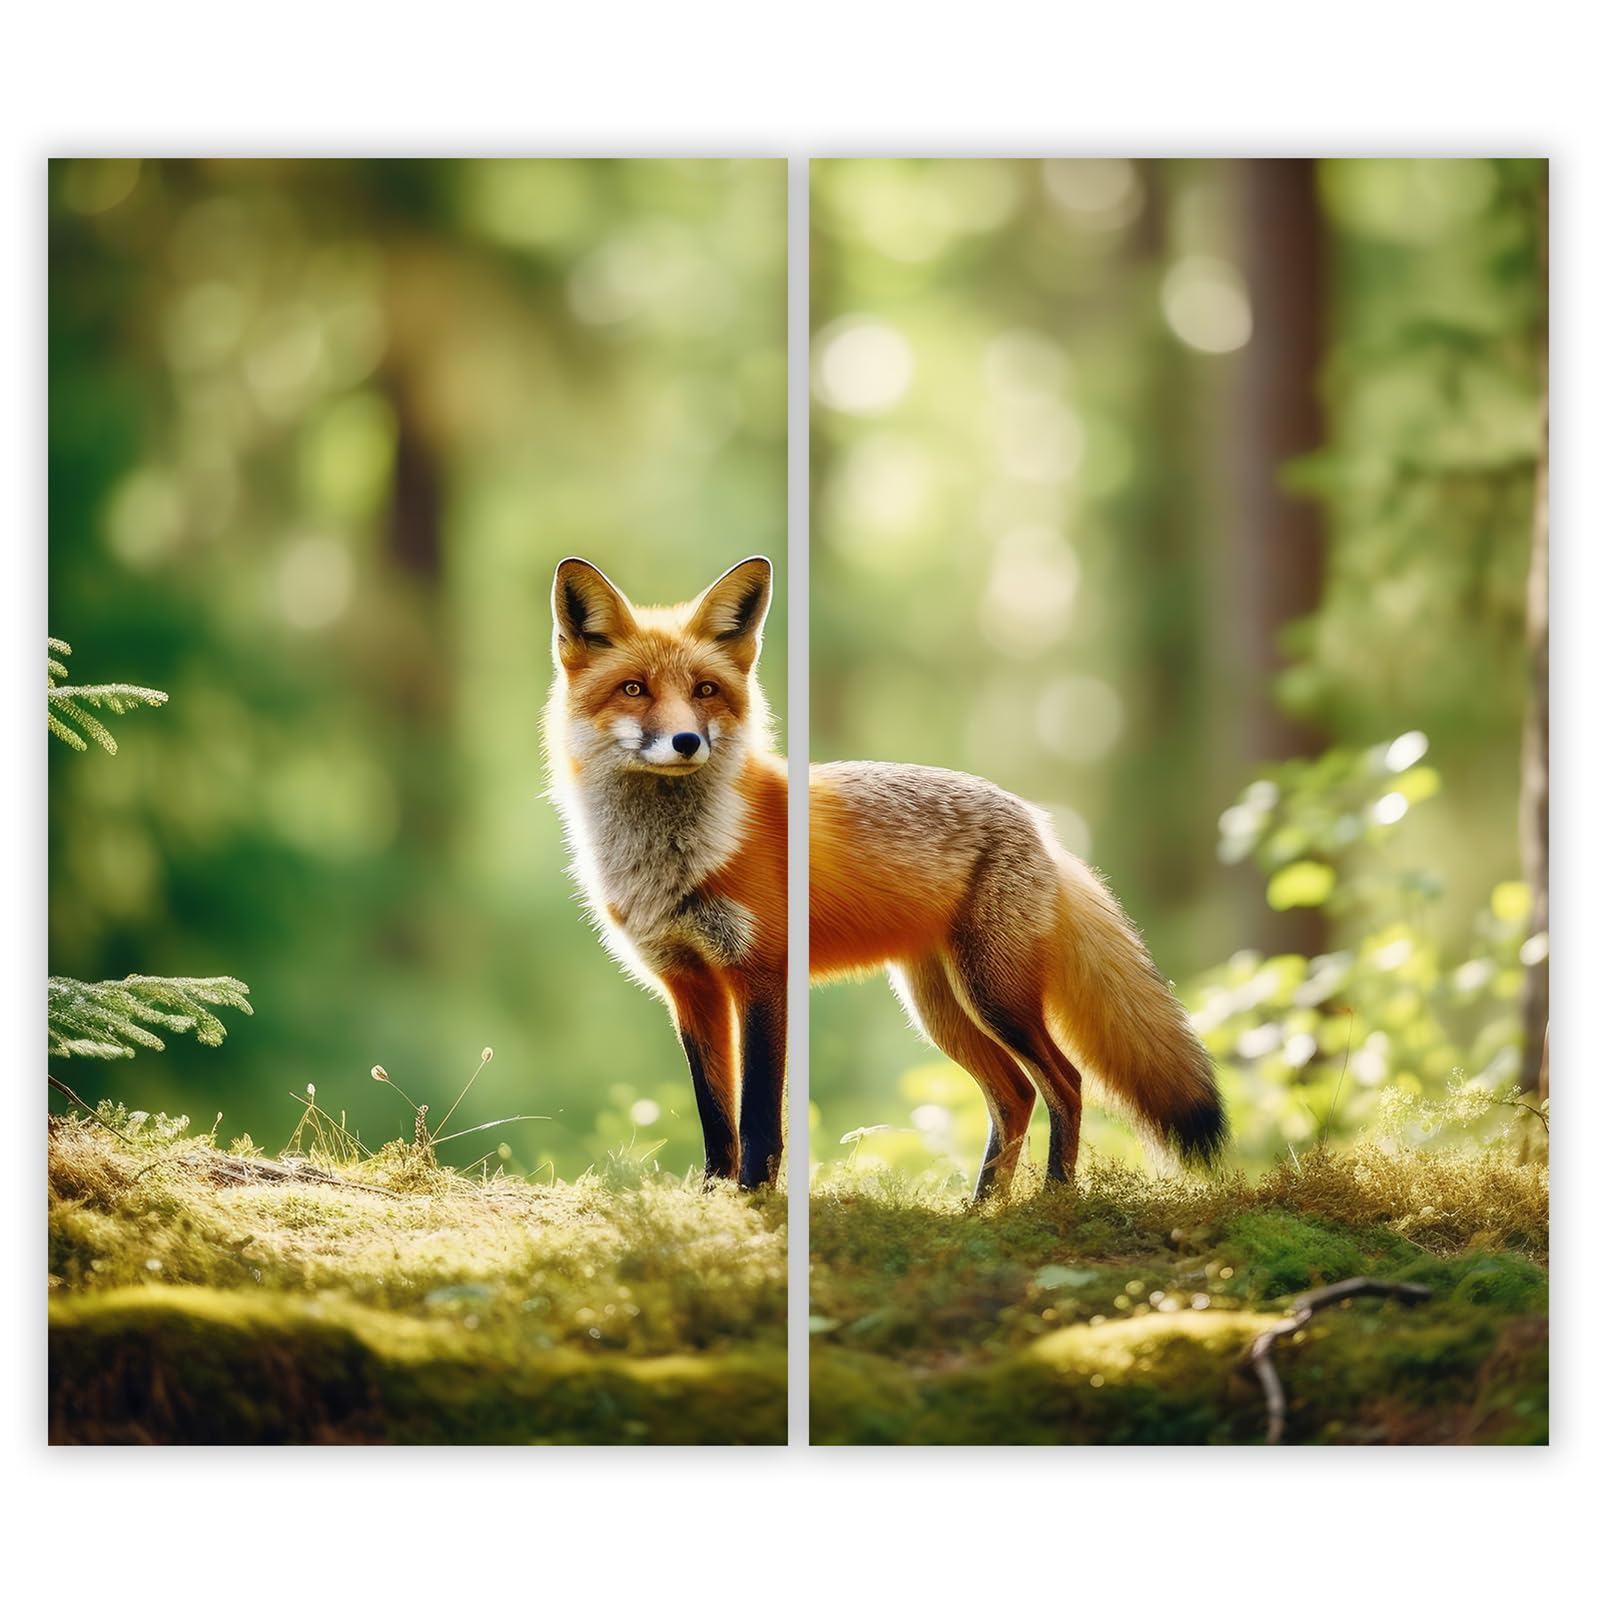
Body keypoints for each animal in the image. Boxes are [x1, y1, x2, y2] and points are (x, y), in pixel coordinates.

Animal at [547, 554, 1225, 1198]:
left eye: (706, 690)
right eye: (634, 688)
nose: (687, 740)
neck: (670, 861)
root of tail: (1040, 823)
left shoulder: (762, 973)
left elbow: (759, 1115)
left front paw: (754, 1199)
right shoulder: (689, 985)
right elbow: (717, 1116)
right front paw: (716, 1197)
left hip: (994, 995)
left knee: (1066, 1081)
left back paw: (1053, 1198)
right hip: (941, 1011)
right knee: (1015, 1095)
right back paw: (982, 1209)